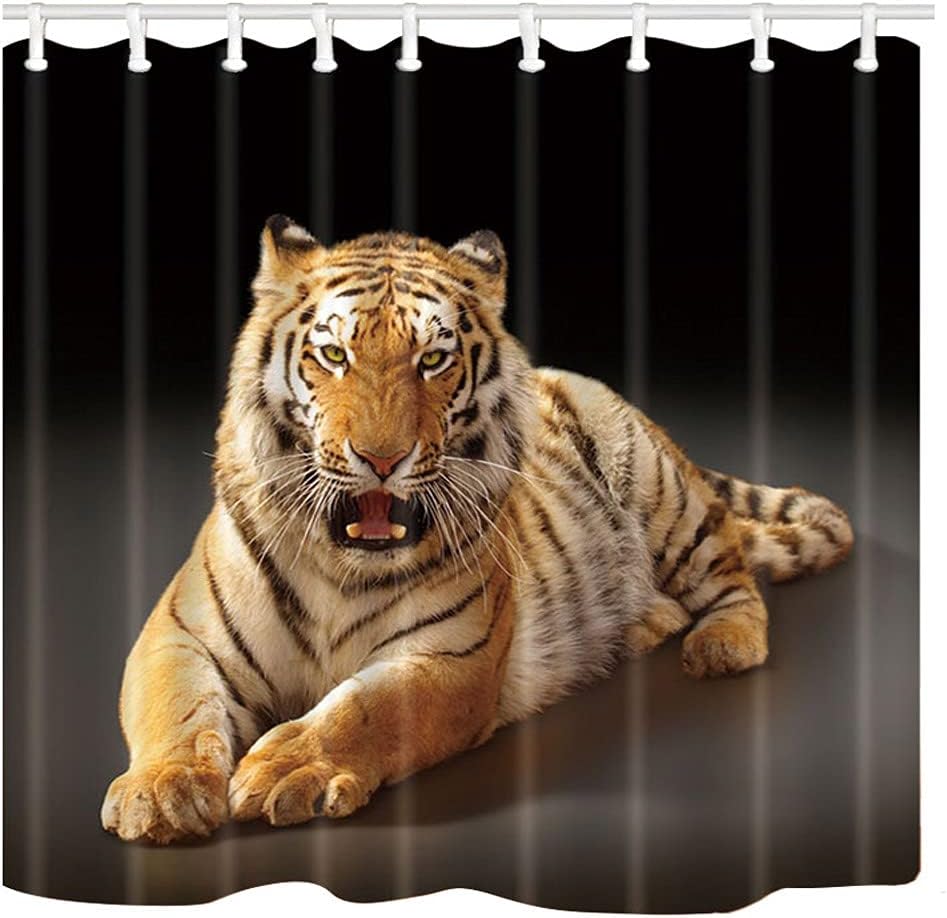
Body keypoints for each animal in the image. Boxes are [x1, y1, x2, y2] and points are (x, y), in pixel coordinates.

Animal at [101, 215, 854, 844]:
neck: (342, 566)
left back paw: (720, 644)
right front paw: (163, 794)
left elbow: (364, 707)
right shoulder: (178, 632)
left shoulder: (450, 658)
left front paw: (287, 769)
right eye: (335, 355)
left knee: (732, 571)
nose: (381, 459)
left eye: (432, 360)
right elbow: (176, 708)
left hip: (660, 495)